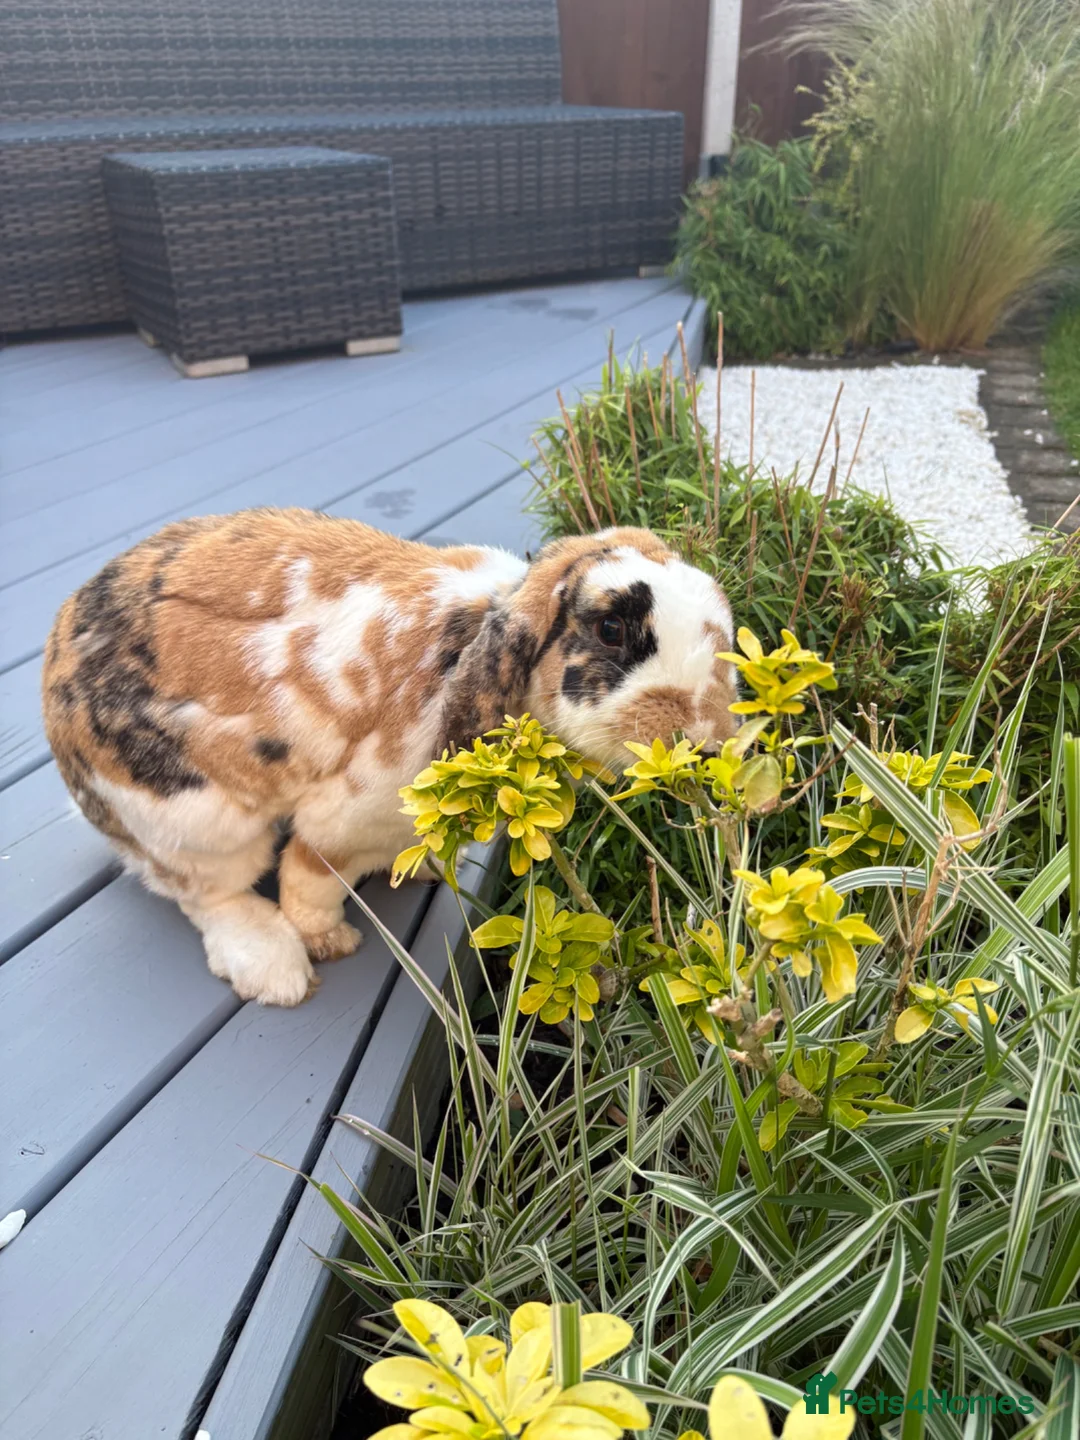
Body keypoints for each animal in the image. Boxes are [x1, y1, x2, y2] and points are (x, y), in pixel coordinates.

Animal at [42, 508, 738, 1006]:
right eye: (611, 629)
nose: (708, 734)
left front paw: (425, 869)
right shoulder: (343, 822)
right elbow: (309, 879)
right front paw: (328, 941)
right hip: (198, 821)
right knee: (207, 895)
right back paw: (278, 969)